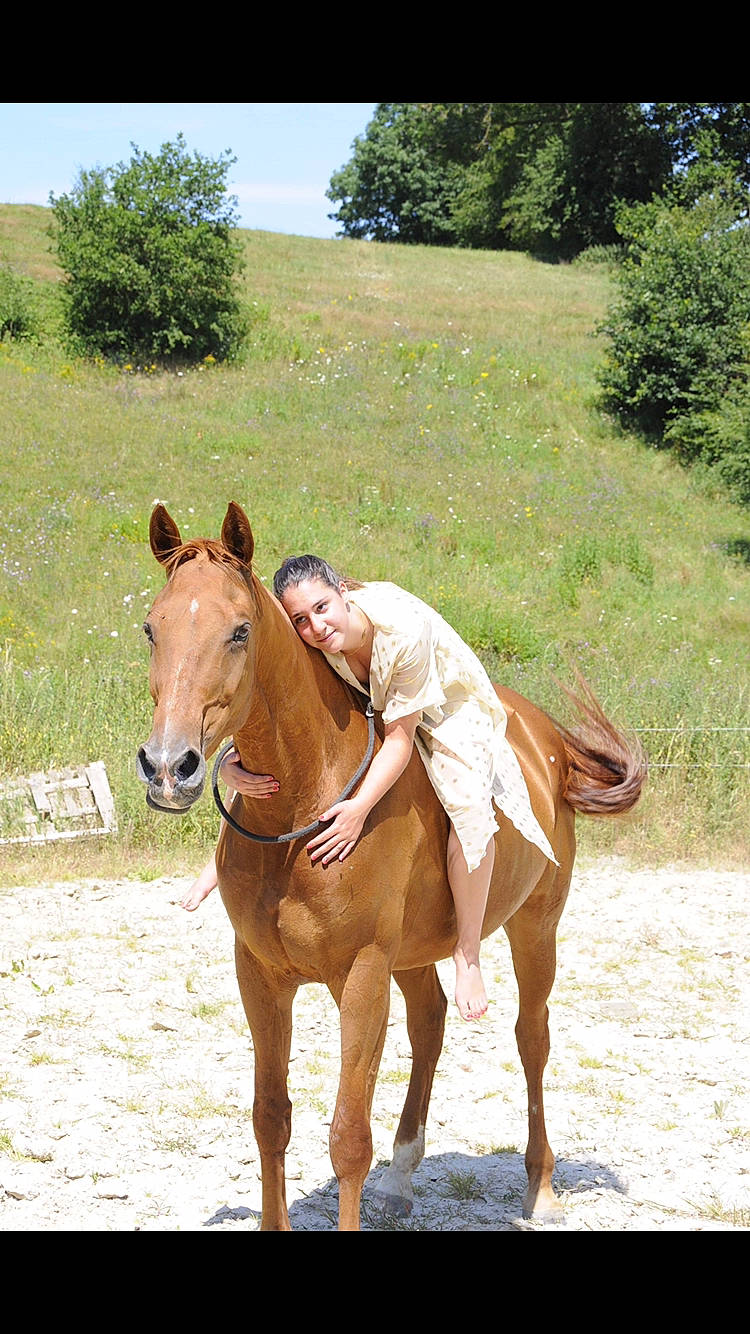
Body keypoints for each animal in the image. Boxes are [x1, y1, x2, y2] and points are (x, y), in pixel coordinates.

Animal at [136, 501, 646, 1231]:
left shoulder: (362, 976)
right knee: (430, 1023)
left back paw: (540, 1186)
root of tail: (546, 737)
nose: (167, 767)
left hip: (535, 929)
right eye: (153, 627)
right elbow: (270, 1120)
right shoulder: (261, 976)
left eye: (239, 630)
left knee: (532, 1038)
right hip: (415, 953)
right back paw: (404, 1175)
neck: (307, 800)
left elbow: (348, 1137)